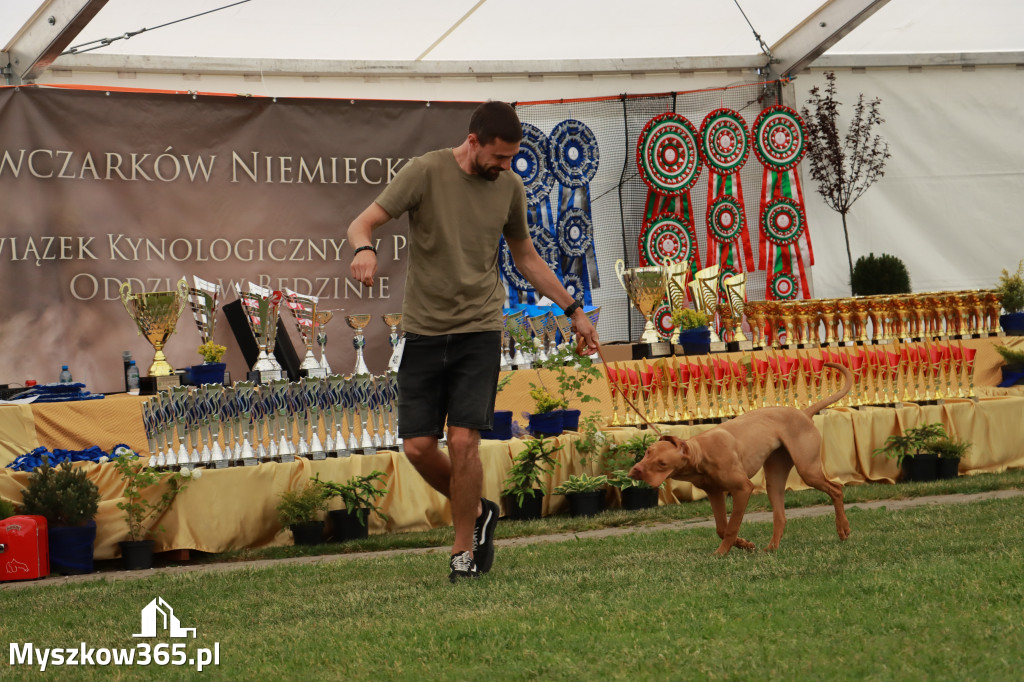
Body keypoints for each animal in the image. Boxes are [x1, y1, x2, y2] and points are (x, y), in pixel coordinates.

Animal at [626, 360, 851, 552]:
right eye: (648, 452)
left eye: (662, 463)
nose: (635, 470)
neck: (701, 452)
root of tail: (804, 413)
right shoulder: (715, 493)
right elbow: (721, 528)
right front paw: (744, 544)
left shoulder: (742, 489)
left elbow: (732, 527)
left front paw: (721, 553)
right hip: (775, 479)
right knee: (780, 516)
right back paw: (772, 548)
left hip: (807, 470)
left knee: (836, 489)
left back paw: (843, 529)